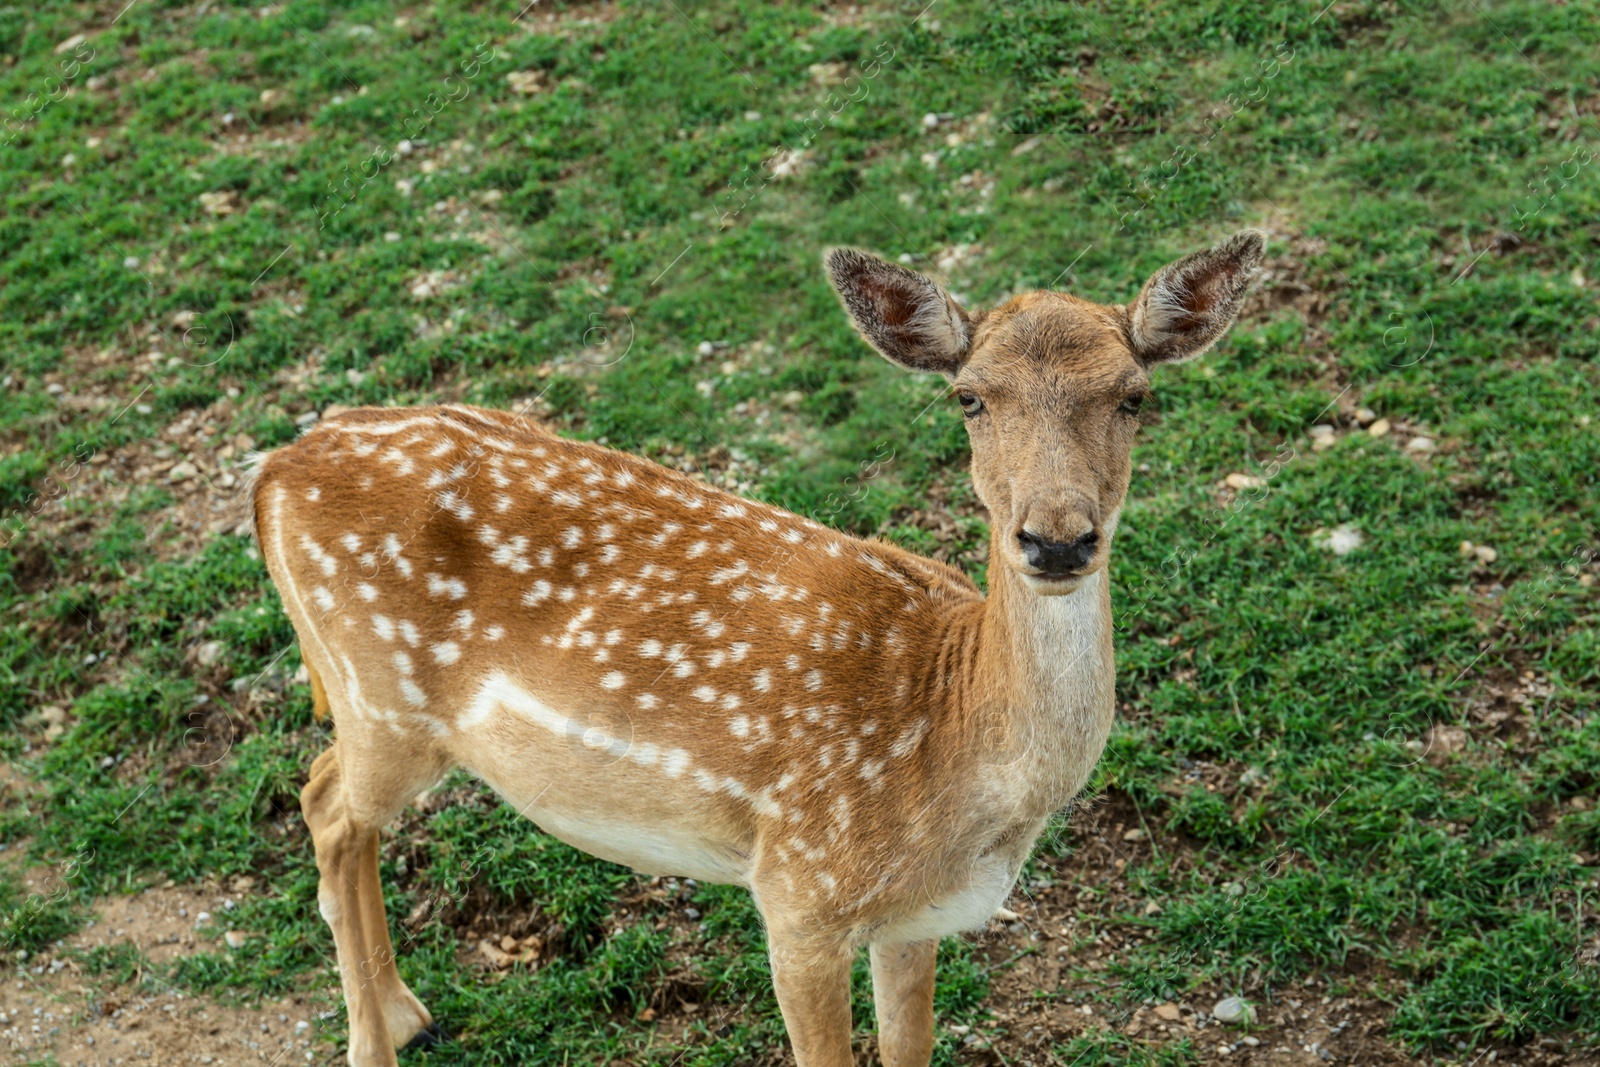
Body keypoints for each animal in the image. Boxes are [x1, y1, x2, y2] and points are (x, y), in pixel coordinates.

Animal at [249, 230, 1267, 1062]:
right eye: (970, 397)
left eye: (1136, 396)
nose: (1057, 539)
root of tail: (274, 470)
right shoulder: (798, 893)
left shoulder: (915, 918)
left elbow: (910, 1048)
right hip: (380, 693)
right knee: (326, 803)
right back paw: (375, 1037)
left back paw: (408, 1013)